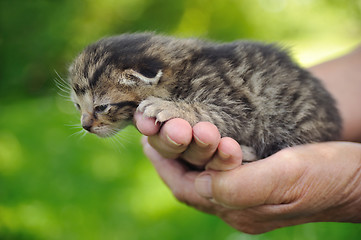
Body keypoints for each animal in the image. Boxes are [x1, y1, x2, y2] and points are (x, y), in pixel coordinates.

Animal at [67, 32, 340, 161]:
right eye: (78, 106)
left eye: (102, 107)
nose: (85, 125)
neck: (184, 70)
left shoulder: (240, 105)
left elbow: (212, 110)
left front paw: (168, 106)